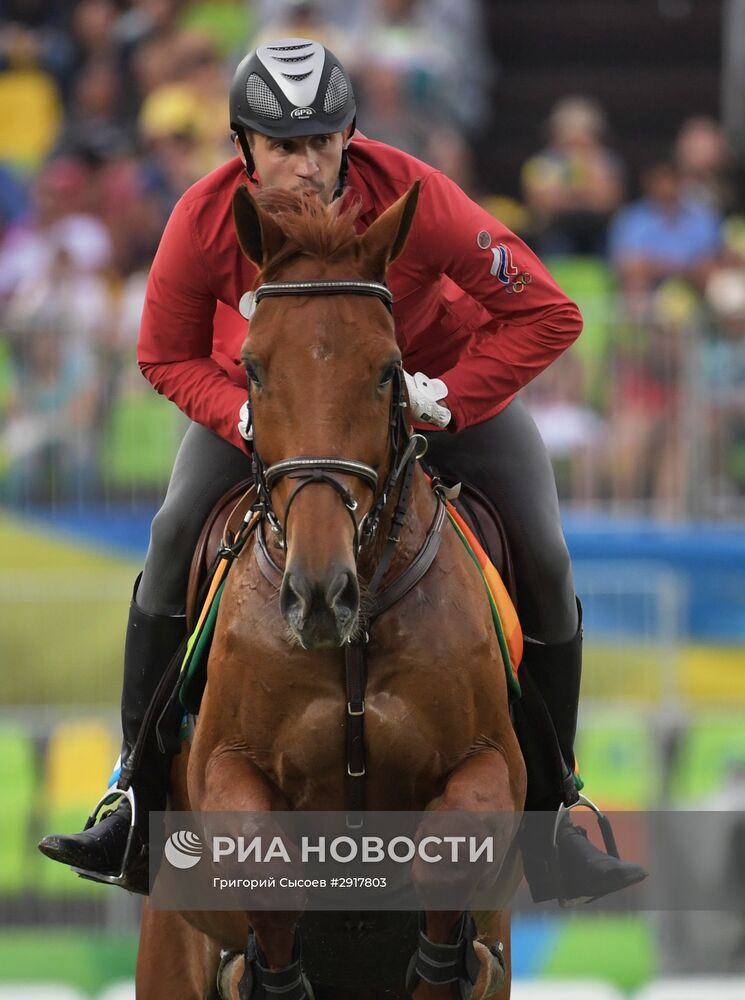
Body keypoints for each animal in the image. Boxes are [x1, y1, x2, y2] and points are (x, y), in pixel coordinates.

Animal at [137, 184, 528, 996]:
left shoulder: (496, 765)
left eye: (388, 369)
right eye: (252, 369)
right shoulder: (222, 766)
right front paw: (269, 973)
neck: (354, 640)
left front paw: (444, 963)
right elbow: (267, 866)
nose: (320, 596)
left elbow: (448, 853)